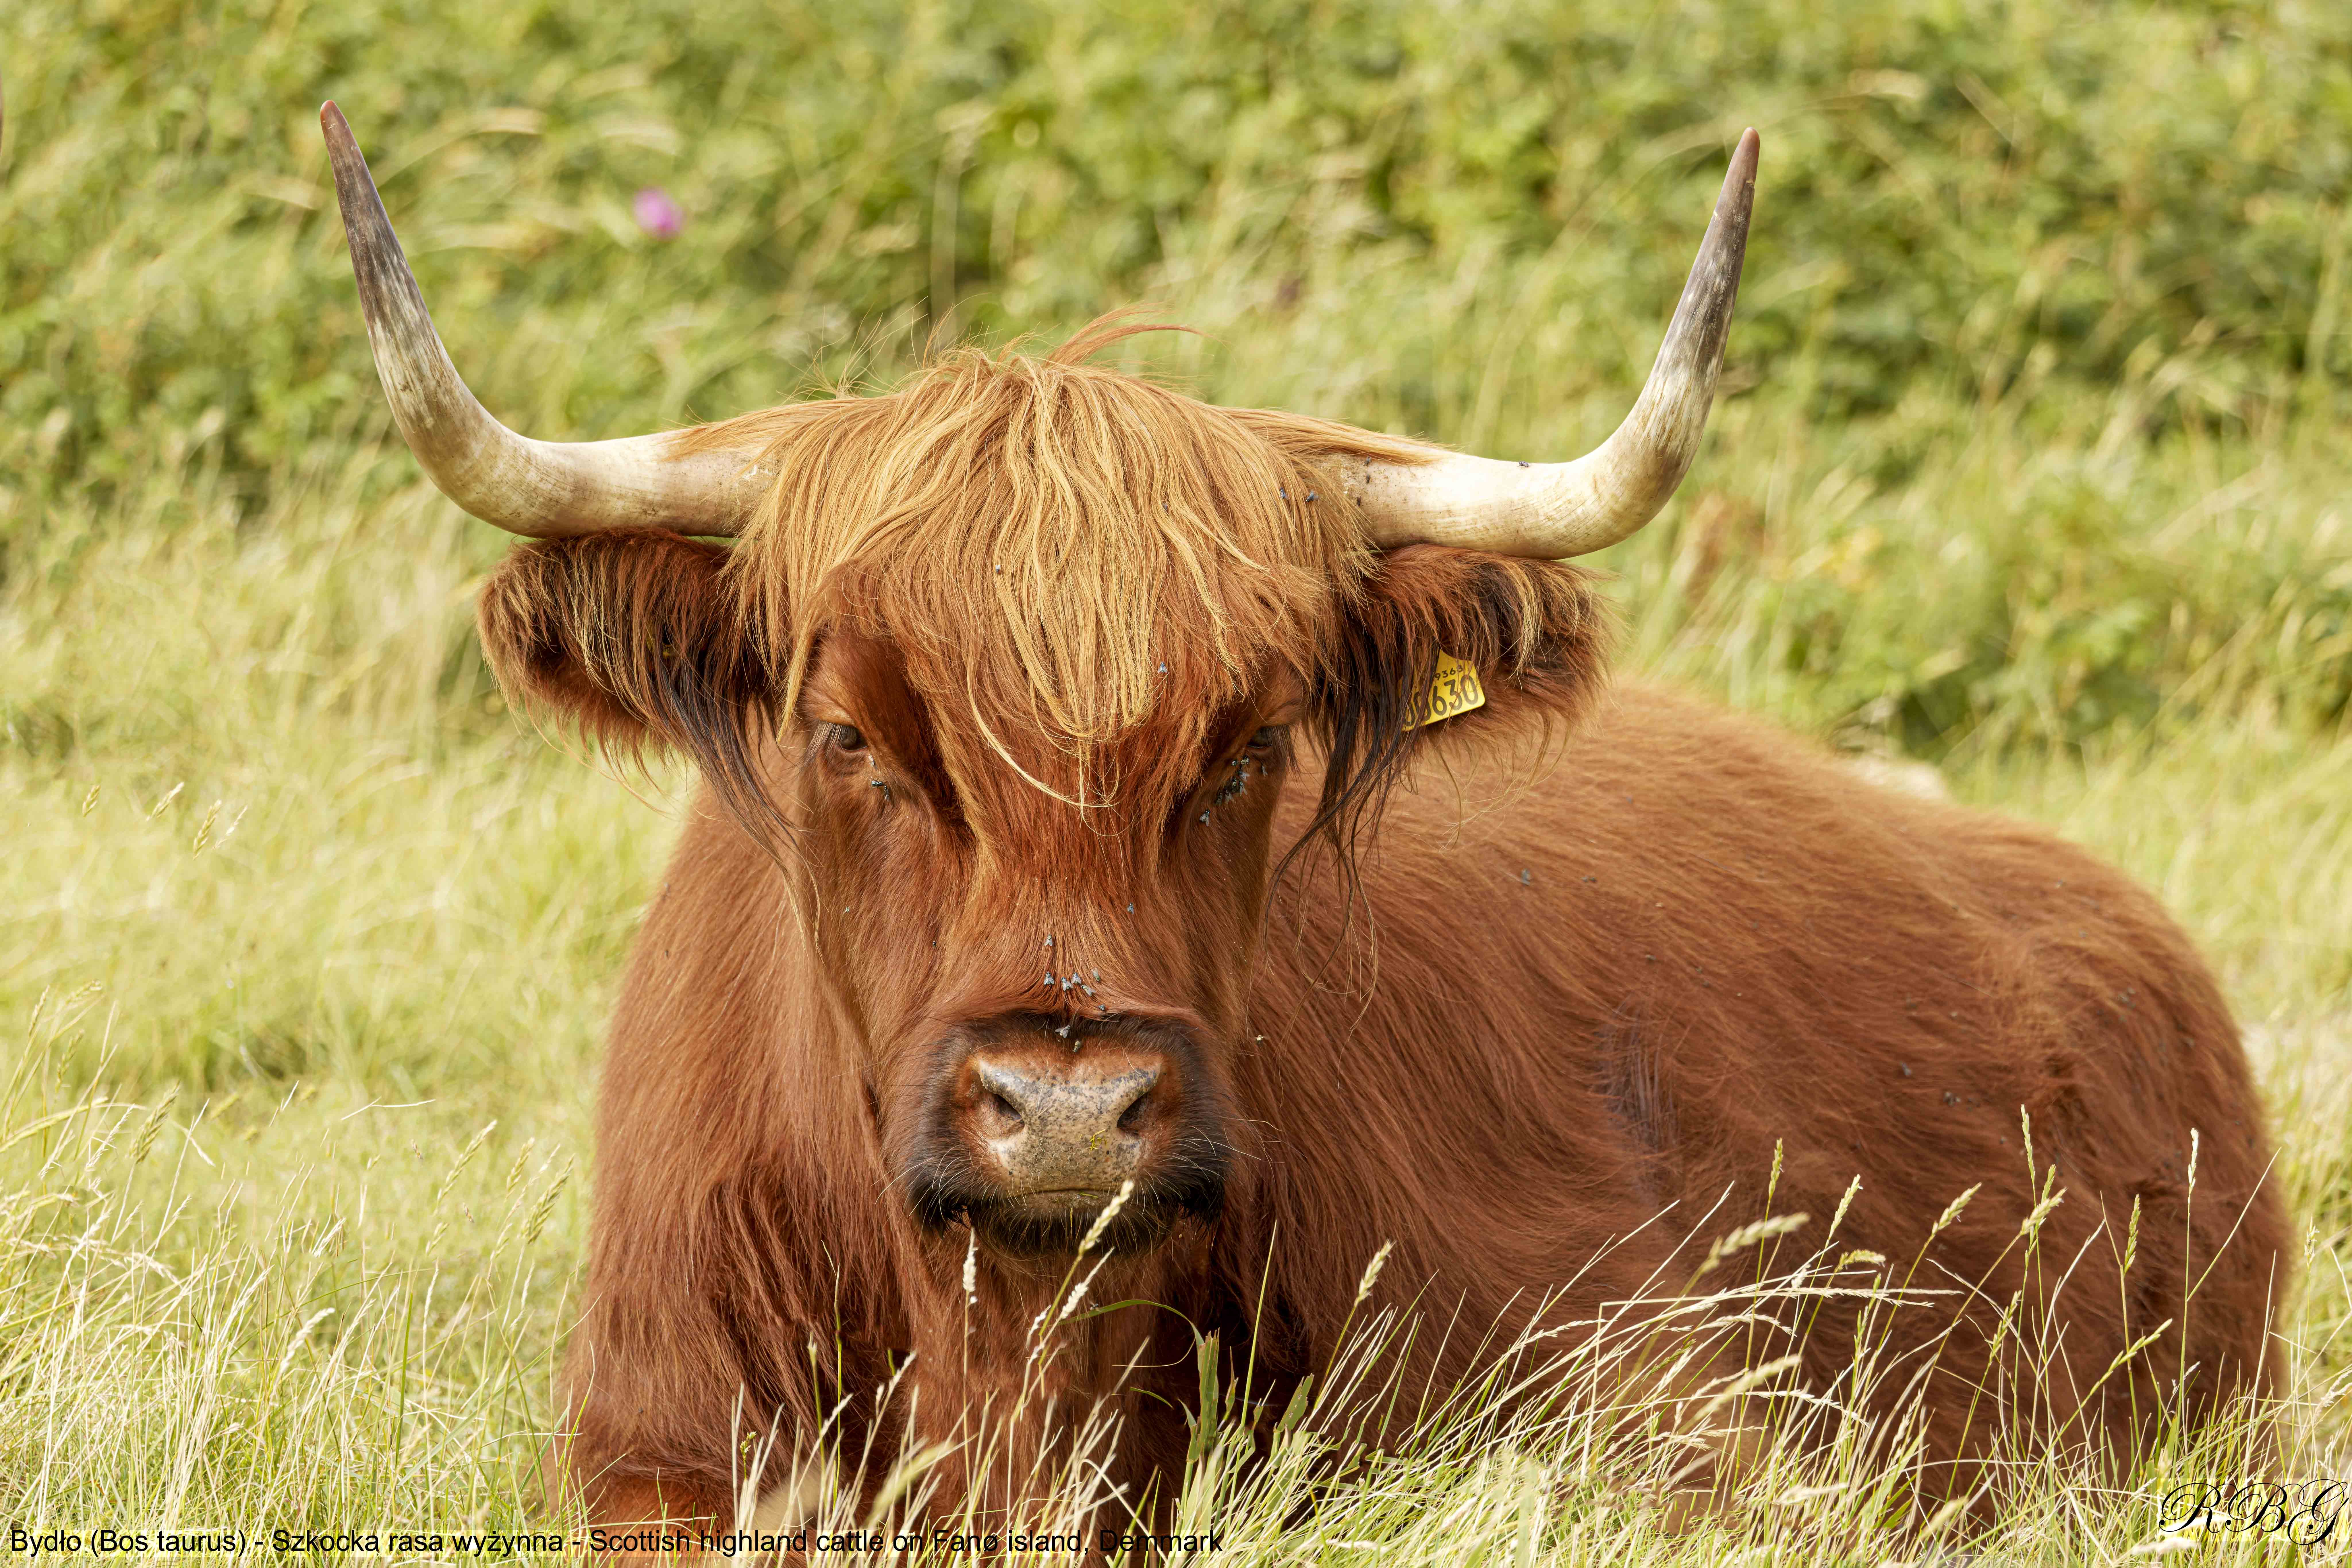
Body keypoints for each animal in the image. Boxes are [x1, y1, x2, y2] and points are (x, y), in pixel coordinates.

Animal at [321, 103, 2287, 1543]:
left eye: (1250, 740)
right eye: (846, 733)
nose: (1069, 1108)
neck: (1010, 1371)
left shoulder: (1677, 1391)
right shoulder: (659, 1452)